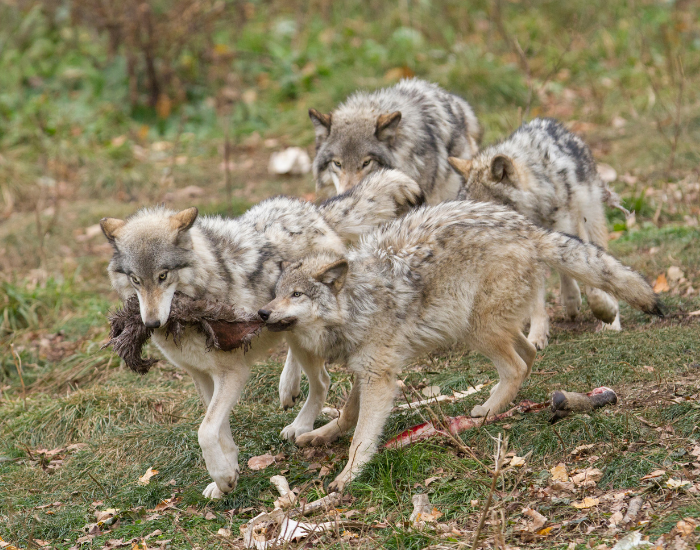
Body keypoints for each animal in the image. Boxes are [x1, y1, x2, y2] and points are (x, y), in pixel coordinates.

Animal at [100, 169, 423, 499]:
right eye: (135, 280)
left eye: (163, 276)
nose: (151, 323)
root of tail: (315, 213)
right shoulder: (202, 376)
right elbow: (219, 430)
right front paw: (226, 477)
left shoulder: (233, 373)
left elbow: (205, 431)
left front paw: (222, 475)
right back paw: (289, 390)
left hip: (304, 335)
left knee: (322, 380)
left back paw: (298, 418)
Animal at [259, 201, 661, 490]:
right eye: (276, 293)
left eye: (296, 295)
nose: (262, 313)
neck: (358, 301)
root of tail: (531, 230)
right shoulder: (366, 371)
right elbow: (347, 415)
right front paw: (318, 435)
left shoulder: (380, 377)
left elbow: (361, 437)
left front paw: (348, 475)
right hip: (487, 326)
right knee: (529, 354)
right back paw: (503, 403)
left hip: (475, 329)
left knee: (516, 366)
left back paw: (487, 409)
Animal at [449, 117, 628, 349]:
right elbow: (536, 304)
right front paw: (536, 336)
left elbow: (594, 284)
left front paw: (606, 313)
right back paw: (571, 302)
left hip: (590, 220)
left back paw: (611, 322)